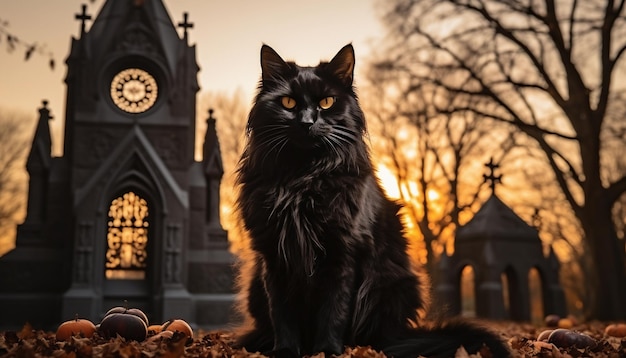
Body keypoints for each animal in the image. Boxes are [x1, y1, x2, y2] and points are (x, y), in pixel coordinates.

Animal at [233, 44, 508, 358]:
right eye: (288, 102)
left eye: (326, 102)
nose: (308, 122)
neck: (303, 180)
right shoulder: (274, 254)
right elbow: (282, 315)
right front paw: (287, 351)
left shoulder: (343, 252)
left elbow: (334, 312)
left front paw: (327, 352)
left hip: (389, 286)